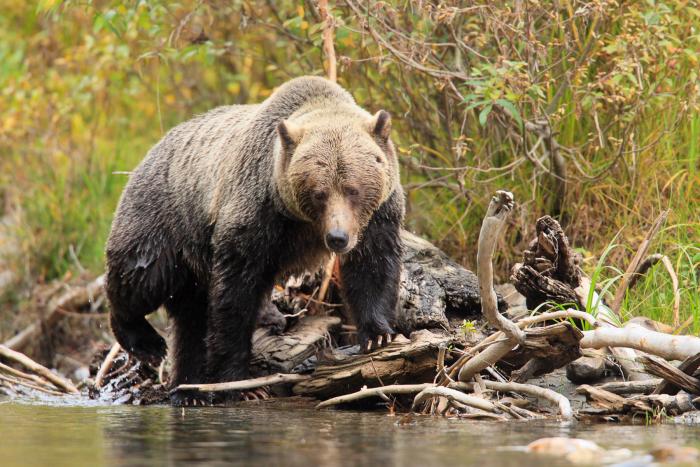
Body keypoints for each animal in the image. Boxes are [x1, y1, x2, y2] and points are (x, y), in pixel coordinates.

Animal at [105, 76, 405, 405]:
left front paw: (379, 334)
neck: (301, 221)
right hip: (162, 220)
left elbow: (373, 267)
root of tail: (152, 150)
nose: (337, 238)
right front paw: (241, 382)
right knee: (142, 279)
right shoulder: (256, 216)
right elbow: (236, 297)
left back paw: (189, 388)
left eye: (353, 189)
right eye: (320, 193)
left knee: (190, 318)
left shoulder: (377, 217)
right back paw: (146, 341)